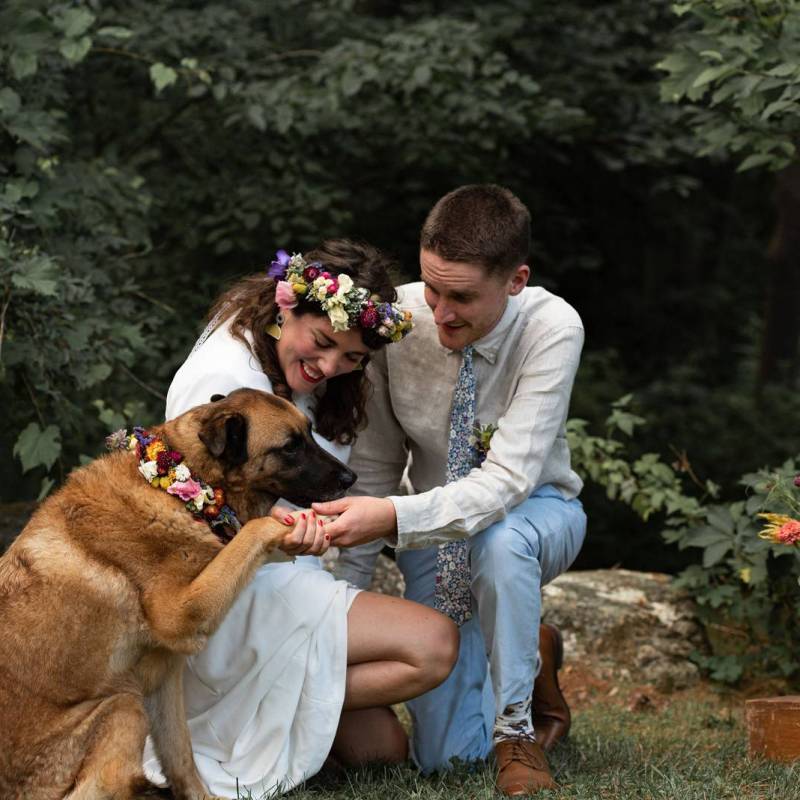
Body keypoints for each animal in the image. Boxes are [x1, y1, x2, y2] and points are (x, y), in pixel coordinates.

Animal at [0, 390, 356, 800]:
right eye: (290, 447)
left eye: (310, 434)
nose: (351, 478)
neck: (185, 484)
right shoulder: (179, 615)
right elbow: (256, 529)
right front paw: (299, 528)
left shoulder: (164, 676)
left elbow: (181, 754)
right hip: (122, 706)